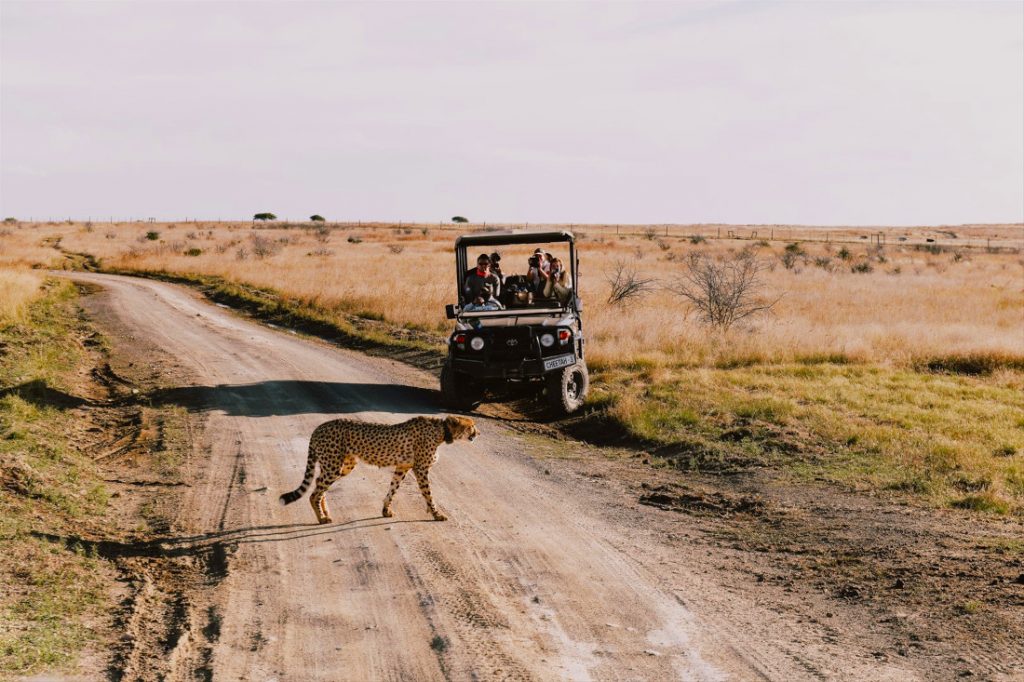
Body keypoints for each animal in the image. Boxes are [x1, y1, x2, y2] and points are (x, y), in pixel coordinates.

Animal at [279, 415, 478, 524]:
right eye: (471, 426)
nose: (478, 433)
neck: (442, 430)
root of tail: (319, 428)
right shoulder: (421, 469)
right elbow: (429, 495)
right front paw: (437, 514)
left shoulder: (402, 467)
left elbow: (393, 489)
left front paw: (385, 510)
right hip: (333, 465)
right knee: (315, 492)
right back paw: (322, 518)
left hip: (342, 465)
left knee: (319, 484)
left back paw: (325, 512)